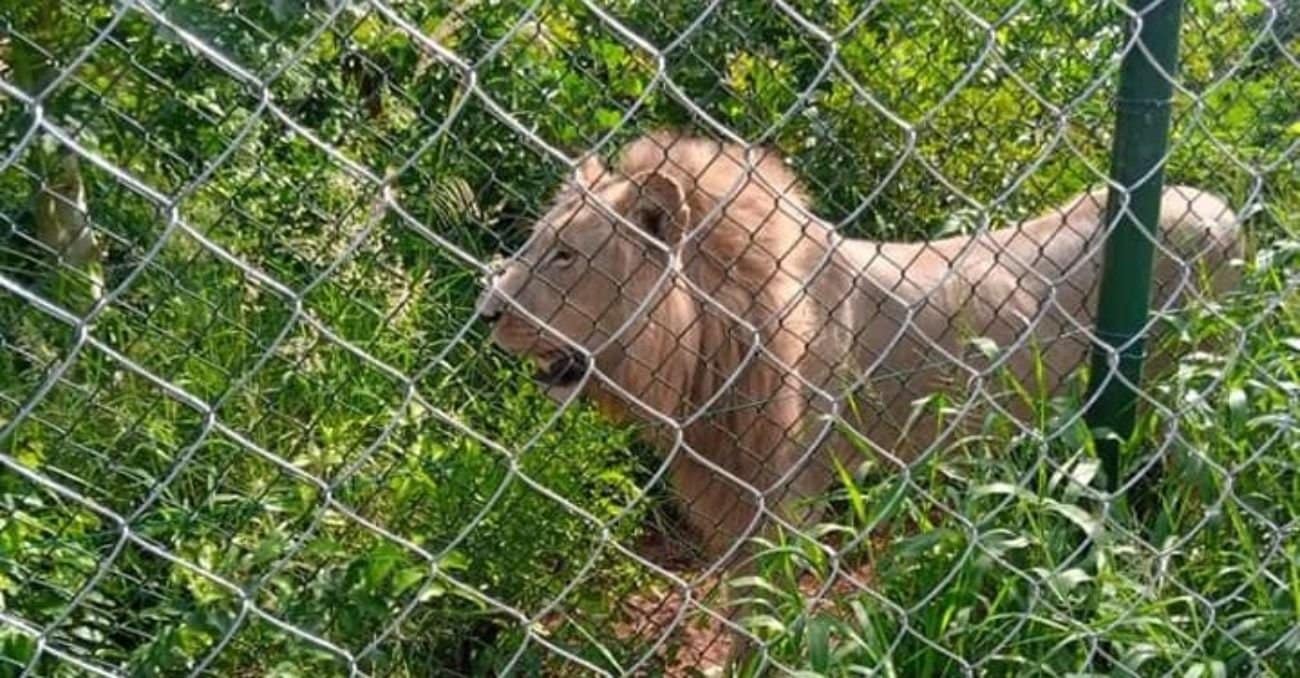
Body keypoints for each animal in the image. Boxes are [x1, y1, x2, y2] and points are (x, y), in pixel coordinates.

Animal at [477, 130, 1244, 561]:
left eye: (565, 256)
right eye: (537, 242)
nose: (484, 313)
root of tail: (1223, 206)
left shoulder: (785, 494)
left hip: (1185, 402)